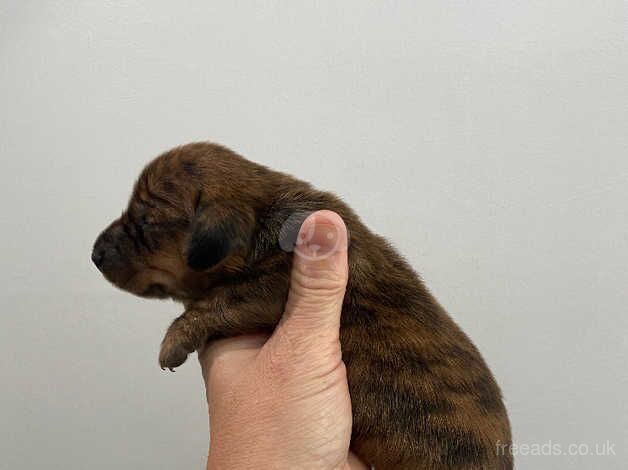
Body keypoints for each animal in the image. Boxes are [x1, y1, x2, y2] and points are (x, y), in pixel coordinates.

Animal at [94, 143, 516, 470]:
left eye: (145, 223)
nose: (94, 253)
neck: (262, 215)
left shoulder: (271, 283)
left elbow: (219, 301)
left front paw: (175, 338)